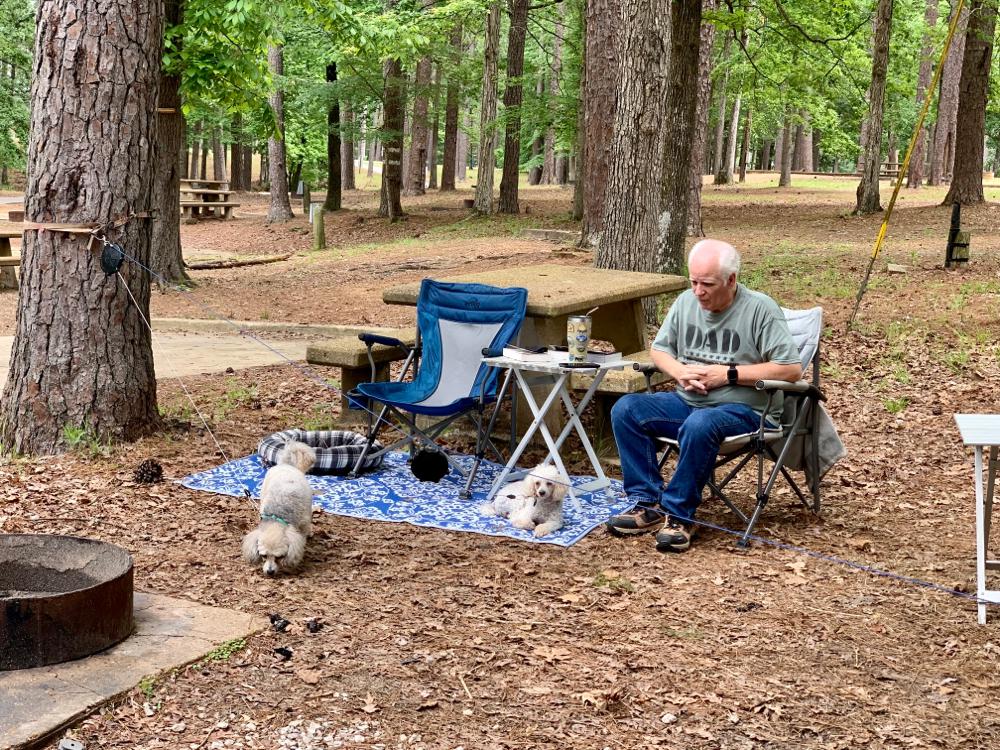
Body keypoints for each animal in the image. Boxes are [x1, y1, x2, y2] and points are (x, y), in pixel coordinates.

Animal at [240, 444, 314, 580]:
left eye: (279, 557)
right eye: (263, 555)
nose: (270, 572)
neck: (278, 516)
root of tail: (286, 464)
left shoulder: (302, 527)